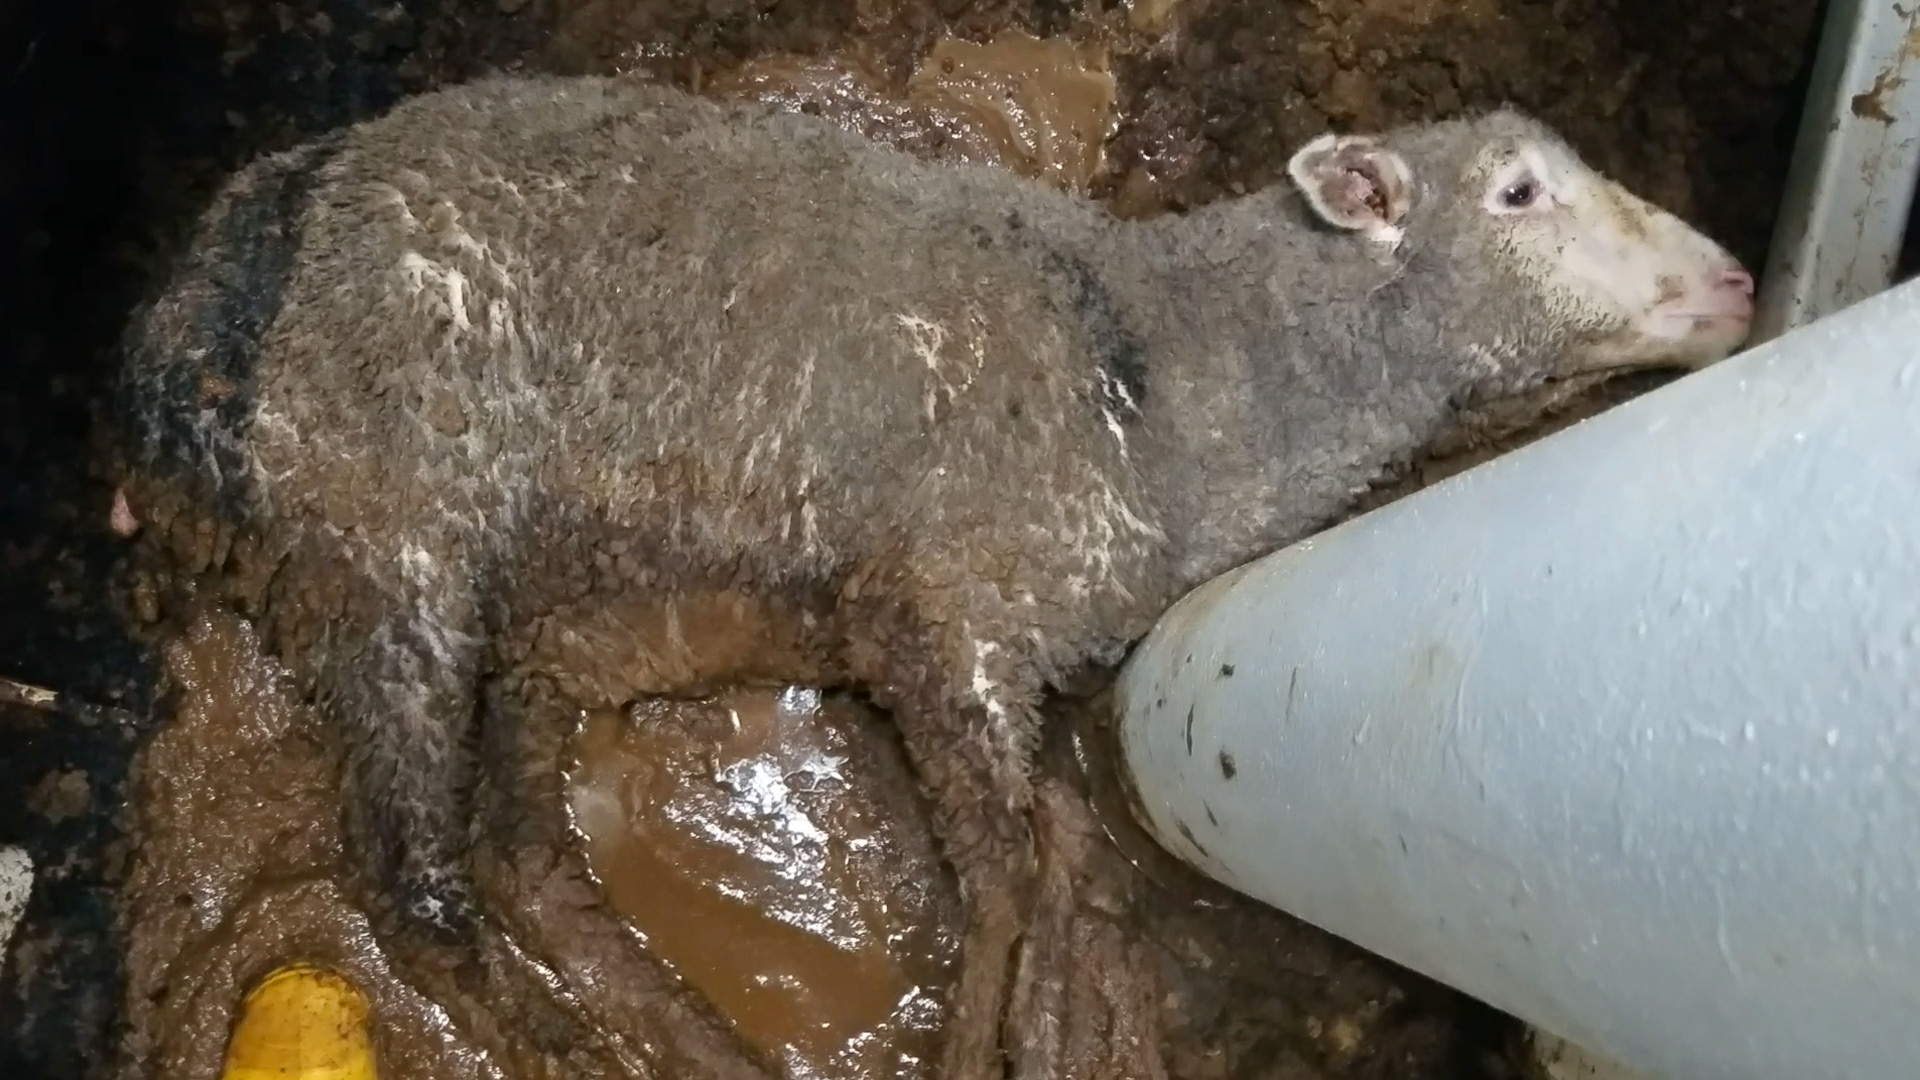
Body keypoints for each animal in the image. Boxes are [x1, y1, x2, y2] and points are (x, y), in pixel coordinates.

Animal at [108, 71, 1758, 1068]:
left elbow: (1045, 851)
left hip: (567, 590)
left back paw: (681, 1030)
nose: (1738, 282)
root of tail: (200, 306)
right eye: (1520, 195)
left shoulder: (903, 624)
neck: (1171, 374)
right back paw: (561, 1033)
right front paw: (982, 1039)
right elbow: (1010, 871)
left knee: (521, 840)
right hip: (393, 538)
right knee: (412, 889)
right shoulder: (946, 612)